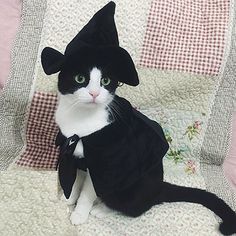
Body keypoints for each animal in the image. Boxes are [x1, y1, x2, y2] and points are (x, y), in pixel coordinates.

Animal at [41, 1, 236, 234]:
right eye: (80, 78)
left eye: (106, 81)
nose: (95, 93)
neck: (80, 122)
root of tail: (159, 187)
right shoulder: (77, 155)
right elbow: (76, 180)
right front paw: (69, 199)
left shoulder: (104, 168)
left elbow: (88, 193)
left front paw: (79, 213)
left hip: (132, 188)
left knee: (135, 208)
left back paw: (102, 209)